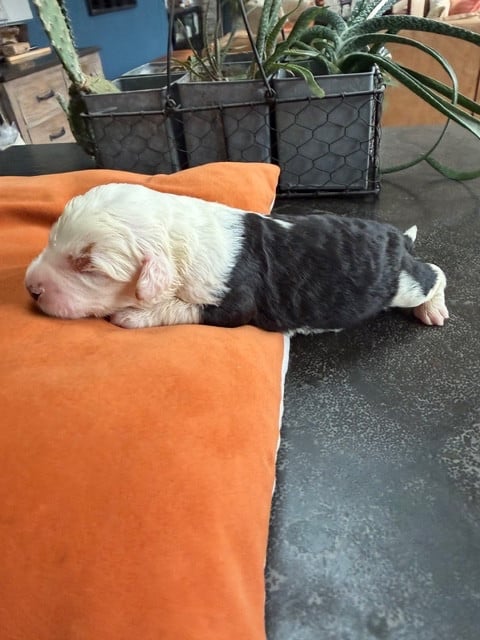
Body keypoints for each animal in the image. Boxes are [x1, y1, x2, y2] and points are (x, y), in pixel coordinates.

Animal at [25, 183, 448, 332]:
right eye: (52, 240)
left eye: (87, 266)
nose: (31, 288)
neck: (179, 238)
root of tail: (395, 235)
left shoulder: (233, 300)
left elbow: (189, 308)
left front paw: (133, 315)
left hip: (399, 284)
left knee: (434, 273)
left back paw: (433, 310)